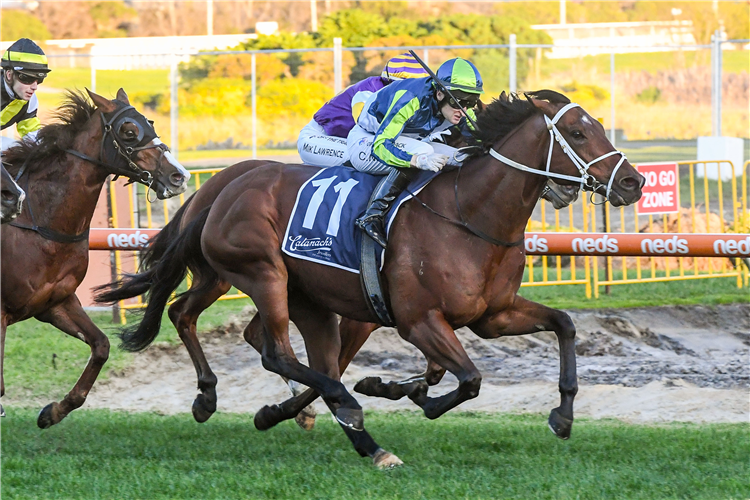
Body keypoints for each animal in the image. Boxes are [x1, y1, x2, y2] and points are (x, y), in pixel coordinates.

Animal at [0, 89, 189, 426]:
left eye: (150, 123)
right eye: (129, 131)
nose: (179, 176)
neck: (40, 222)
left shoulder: (54, 303)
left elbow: (101, 346)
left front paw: (53, 411)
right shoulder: (1, 313)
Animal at [98, 91, 648, 468]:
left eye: (599, 127)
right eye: (577, 133)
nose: (632, 181)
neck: (469, 215)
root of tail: (223, 183)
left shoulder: (493, 316)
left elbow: (564, 325)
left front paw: (562, 416)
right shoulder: (418, 319)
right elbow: (469, 379)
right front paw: (414, 396)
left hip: (288, 293)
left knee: (226, 327)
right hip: (262, 272)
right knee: (280, 353)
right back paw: (336, 413)